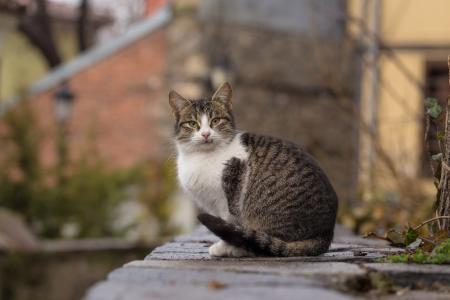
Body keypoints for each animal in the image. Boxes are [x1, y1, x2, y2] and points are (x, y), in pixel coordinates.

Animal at [169, 83, 338, 256]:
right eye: (192, 123)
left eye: (215, 121)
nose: (205, 134)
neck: (203, 156)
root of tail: (326, 233)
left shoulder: (228, 199)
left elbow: (230, 226)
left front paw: (224, 247)